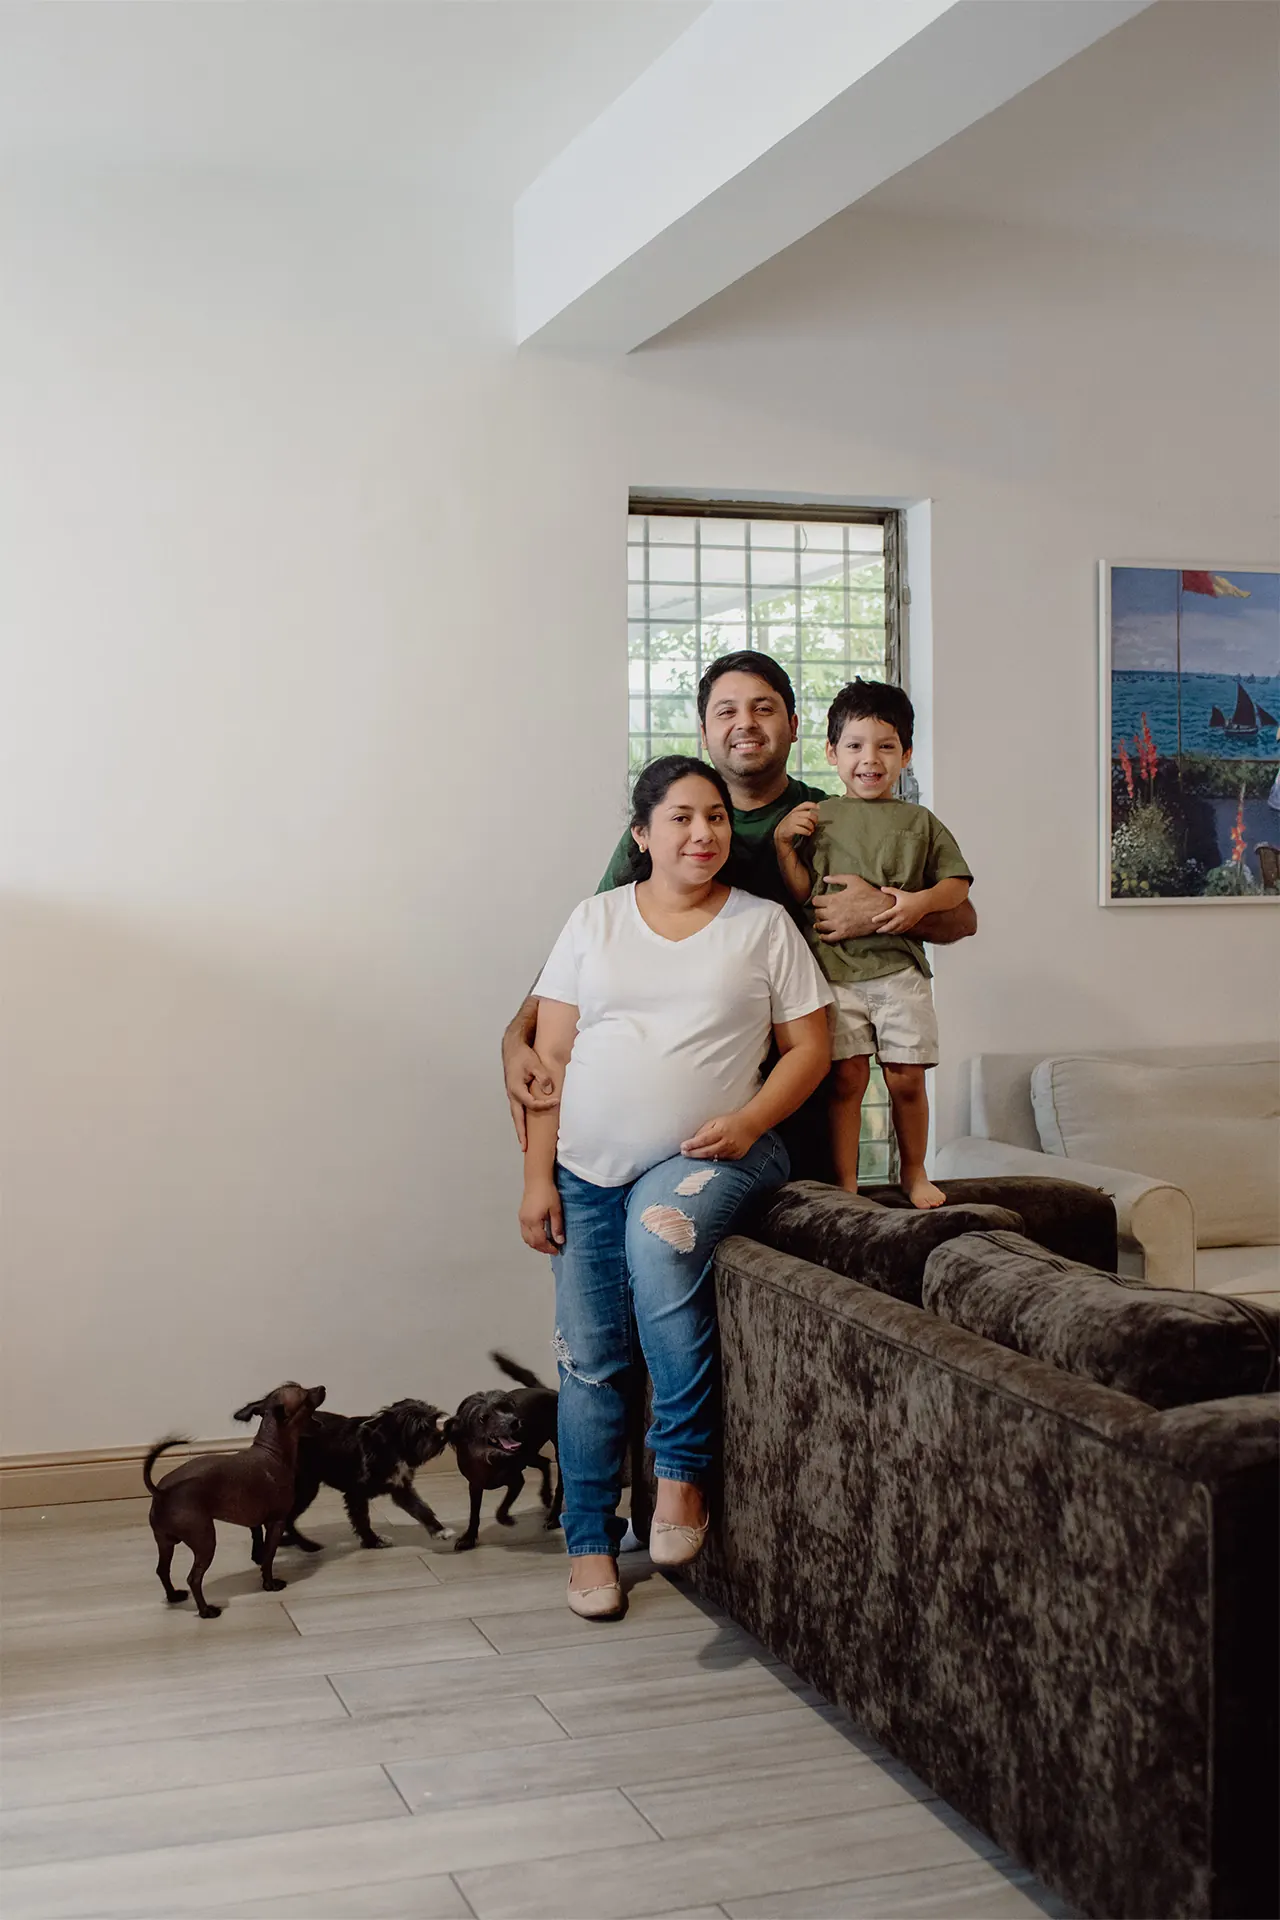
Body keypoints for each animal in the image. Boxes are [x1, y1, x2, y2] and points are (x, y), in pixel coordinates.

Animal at [145, 1381, 326, 1619]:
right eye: (306, 1398)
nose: (322, 1387)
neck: (273, 1451)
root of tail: (162, 1492)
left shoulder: (255, 1520)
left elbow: (258, 1543)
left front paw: (257, 1558)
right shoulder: (276, 1523)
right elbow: (269, 1557)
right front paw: (269, 1584)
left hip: (165, 1542)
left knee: (162, 1570)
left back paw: (174, 1596)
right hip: (205, 1542)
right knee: (194, 1578)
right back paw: (206, 1611)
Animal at [235, 1398, 453, 1557]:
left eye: (434, 1421)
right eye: (420, 1428)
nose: (443, 1437)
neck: (386, 1445)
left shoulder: (401, 1489)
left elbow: (421, 1509)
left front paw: (439, 1530)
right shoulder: (355, 1494)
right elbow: (362, 1520)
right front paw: (373, 1541)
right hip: (305, 1488)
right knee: (287, 1519)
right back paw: (306, 1545)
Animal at [446, 1351, 561, 1553]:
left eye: (507, 1409)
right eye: (483, 1417)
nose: (515, 1422)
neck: (487, 1457)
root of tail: (547, 1390)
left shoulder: (516, 1481)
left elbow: (501, 1508)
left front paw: (506, 1519)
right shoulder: (475, 1485)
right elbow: (474, 1513)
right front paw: (469, 1538)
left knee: (560, 1484)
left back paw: (553, 1518)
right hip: (528, 1454)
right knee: (544, 1462)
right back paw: (546, 1495)